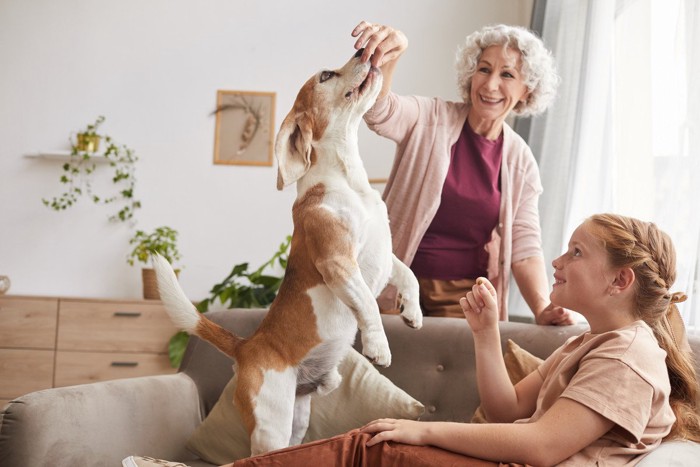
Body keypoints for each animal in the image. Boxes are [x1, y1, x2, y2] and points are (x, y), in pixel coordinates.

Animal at [154, 50, 422, 458]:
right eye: (326, 75)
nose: (363, 52)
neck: (348, 179)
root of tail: (246, 347)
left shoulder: (384, 252)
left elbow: (410, 275)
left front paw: (413, 313)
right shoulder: (338, 262)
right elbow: (369, 305)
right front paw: (379, 345)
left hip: (296, 421)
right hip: (271, 424)